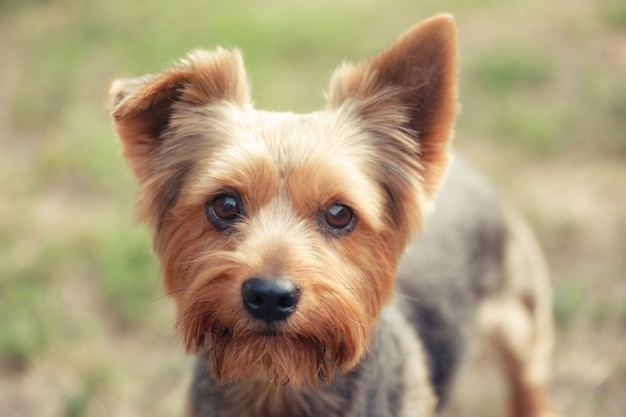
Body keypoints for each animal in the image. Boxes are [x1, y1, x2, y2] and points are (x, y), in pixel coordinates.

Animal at [109, 13, 552, 416]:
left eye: (340, 213)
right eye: (225, 204)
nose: (269, 296)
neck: (279, 384)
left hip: (520, 315)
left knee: (527, 377)